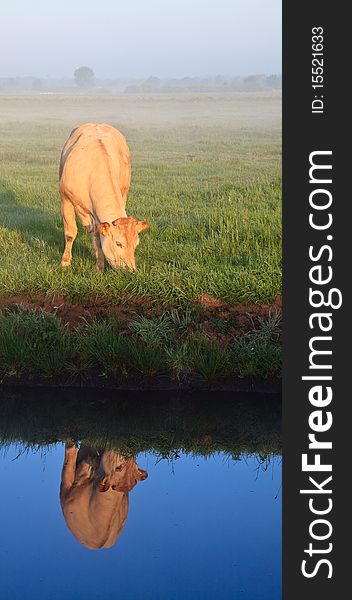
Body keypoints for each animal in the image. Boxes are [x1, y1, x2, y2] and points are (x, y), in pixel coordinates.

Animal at [58, 123, 148, 270]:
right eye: (118, 243)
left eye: (136, 243)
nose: (130, 269)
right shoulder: (66, 200)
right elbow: (70, 234)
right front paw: (65, 262)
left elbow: (97, 237)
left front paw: (99, 265)